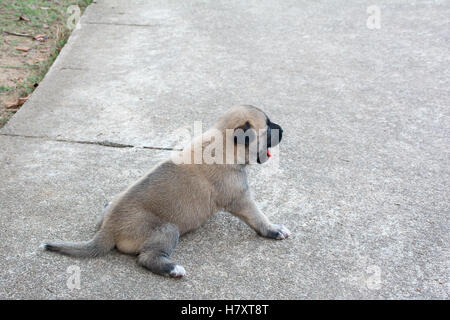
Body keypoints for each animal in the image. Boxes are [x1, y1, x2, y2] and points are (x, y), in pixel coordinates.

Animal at [41, 105, 288, 278]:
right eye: (268, 127)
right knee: (146, 258)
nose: (283, 129)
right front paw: (274, 230)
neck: (222, 143)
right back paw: (171, 269)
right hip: (167, 229)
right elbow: (258, 217)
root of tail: (108, 229)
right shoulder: (241, 199)